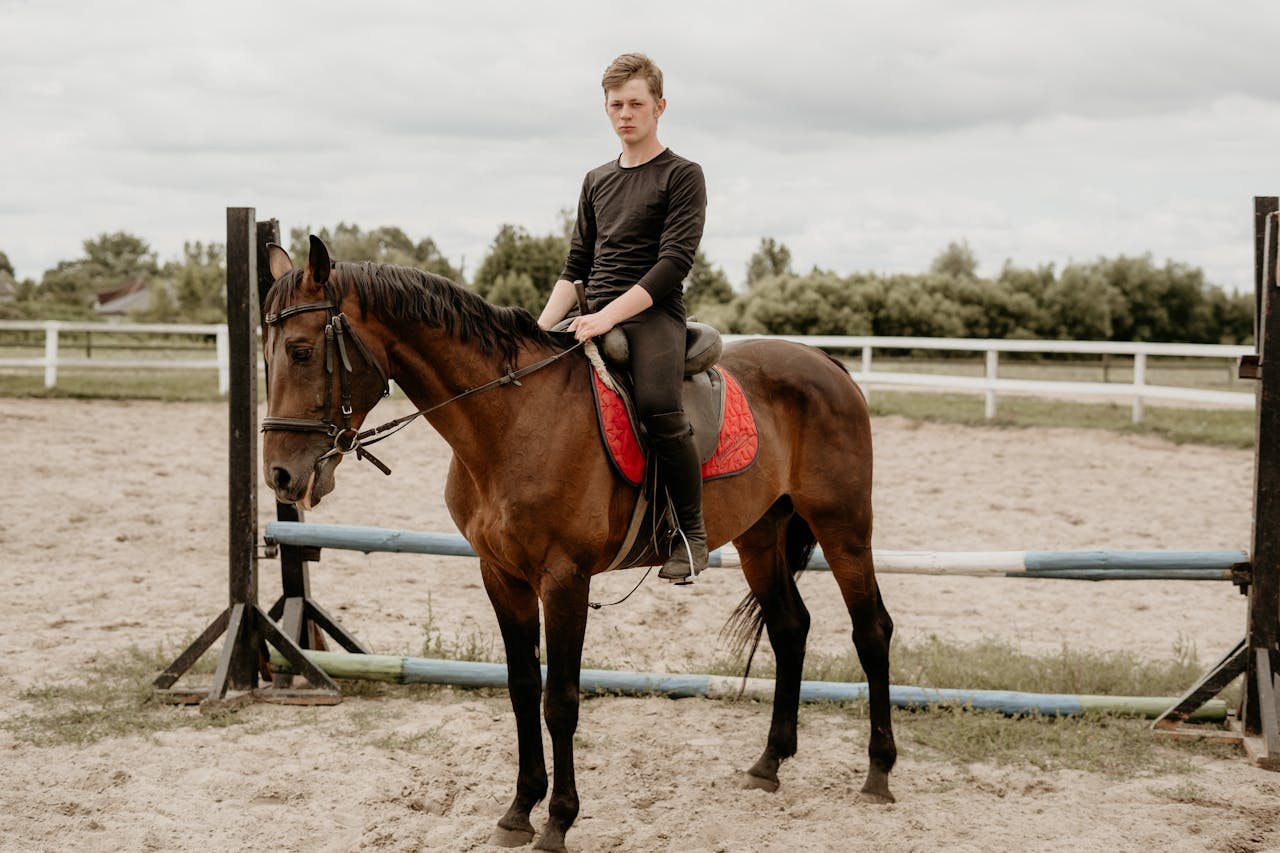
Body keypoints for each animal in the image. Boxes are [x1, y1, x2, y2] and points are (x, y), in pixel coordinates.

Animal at [260, 236, 896, 852]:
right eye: (266, 356)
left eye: (300, 351)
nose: (280, 478)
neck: (511, 419)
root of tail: (824, 361)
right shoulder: (501, 575)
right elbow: (522, 690)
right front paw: (518, 812)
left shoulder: (564, 578)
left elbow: (560, 700)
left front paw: (558, 823)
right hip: (760, 538)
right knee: (790, 628)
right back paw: (769, 764)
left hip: (843, 528)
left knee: (872, 631)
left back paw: (879, 774)